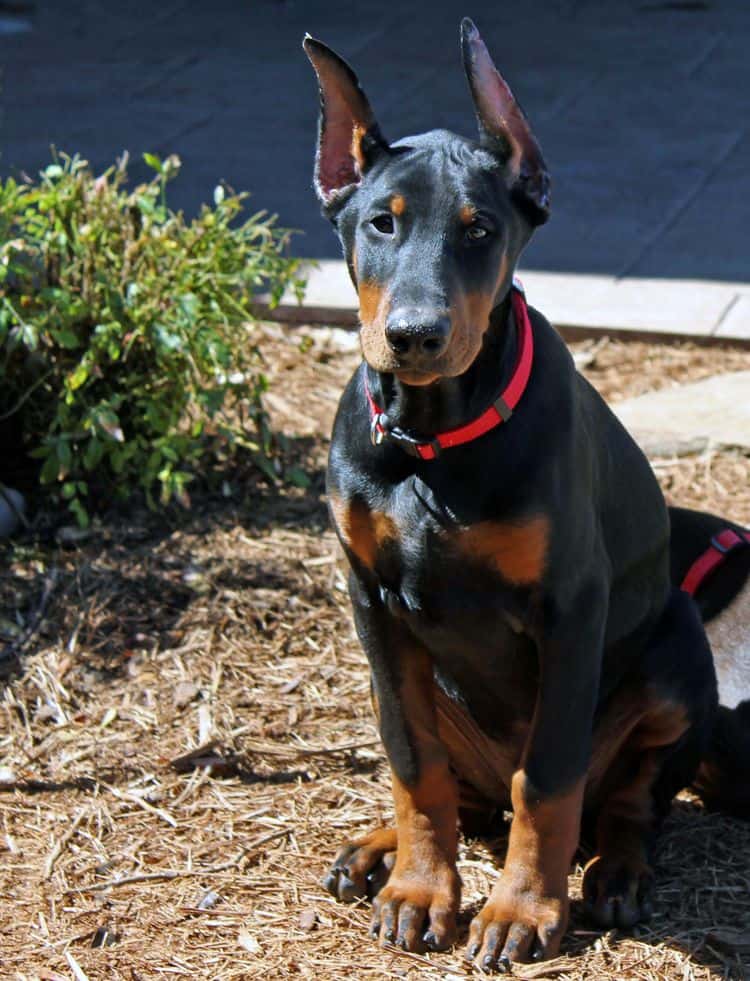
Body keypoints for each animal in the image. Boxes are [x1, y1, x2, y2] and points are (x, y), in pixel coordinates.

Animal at [302, 19, 748, 968]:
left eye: (480, 230)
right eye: (380, 222)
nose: (414, 335)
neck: (433, 442)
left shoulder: (569, 607)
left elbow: (545, 778)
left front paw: (521, 911)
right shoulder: (369, 600)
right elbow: (413, 762)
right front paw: (420, 889)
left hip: (675, 655)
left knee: (621, 803)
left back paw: (615, 875)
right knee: (462, 787)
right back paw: (374, 848)